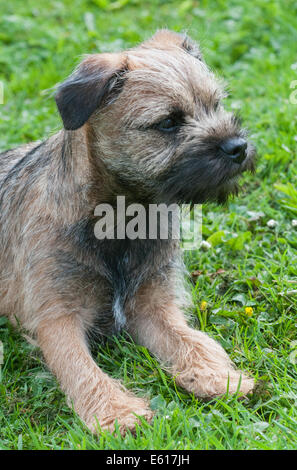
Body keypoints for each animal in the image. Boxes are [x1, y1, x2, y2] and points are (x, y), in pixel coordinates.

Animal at [0, 29, 254, 434]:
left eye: (215, 105)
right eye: (168, 122)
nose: (238, 147)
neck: (122, 219)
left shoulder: (152, 306)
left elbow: (192, 339)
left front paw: (219, 375)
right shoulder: (56, 317)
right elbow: (80, 367)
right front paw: (117, 412)